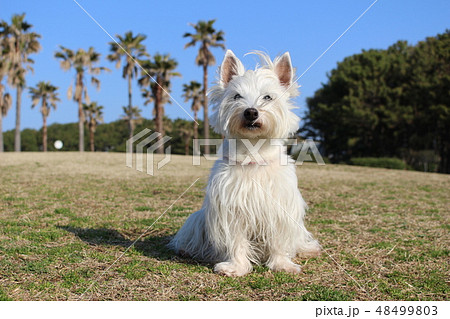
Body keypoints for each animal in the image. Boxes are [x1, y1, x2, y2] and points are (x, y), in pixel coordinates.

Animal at [169, 50, 320, 278]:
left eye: (268, 97)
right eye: (236, 96)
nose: (251, 112)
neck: (253, 153)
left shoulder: (280, 208)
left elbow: (278, 241)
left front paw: (282, 264)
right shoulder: (231, 208)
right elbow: (237, 241)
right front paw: (236, 267)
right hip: (197, 220)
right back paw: (186, 250)